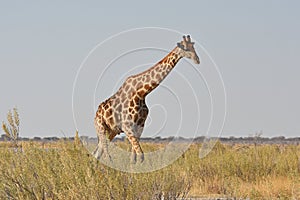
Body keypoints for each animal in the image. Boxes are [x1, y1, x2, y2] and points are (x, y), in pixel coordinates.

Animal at [93, 35, 199, 163]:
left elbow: (134, 157)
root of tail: (96, 114)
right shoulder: (127, 127)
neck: (141, 93)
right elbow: (140, 155)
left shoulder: (139, 127)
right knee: (106, 154)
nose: (197, 60)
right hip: (101, 128)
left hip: (111, 131)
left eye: (193, 47)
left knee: (97, 153)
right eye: (186, 48)